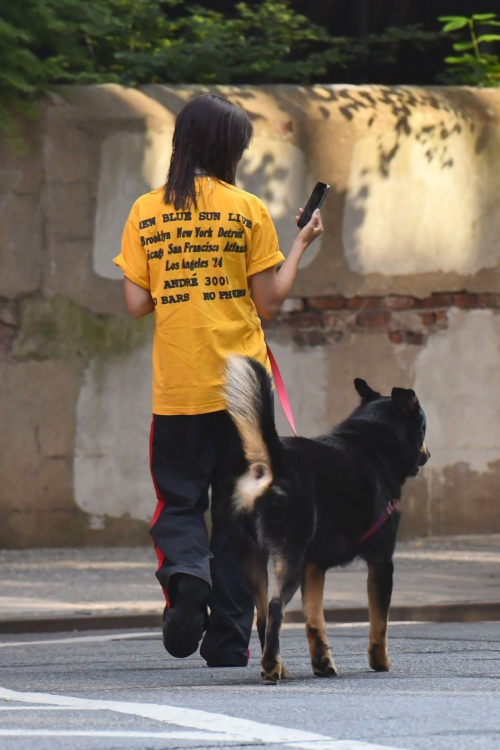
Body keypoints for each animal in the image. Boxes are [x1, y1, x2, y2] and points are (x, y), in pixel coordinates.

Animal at [225, 358, 428, 688]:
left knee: (263, 616)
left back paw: (277, 664)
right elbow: (380, 621)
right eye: (423, 428)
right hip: (290, 557)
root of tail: (273, 460)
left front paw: (321, 661)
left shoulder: (315, 565)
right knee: (276, 607)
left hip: (252, 558)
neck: (371, 443)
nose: (427, 453)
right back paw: (270, 668)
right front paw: (380, 661)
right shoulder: (382, 562)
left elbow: (314, 620)